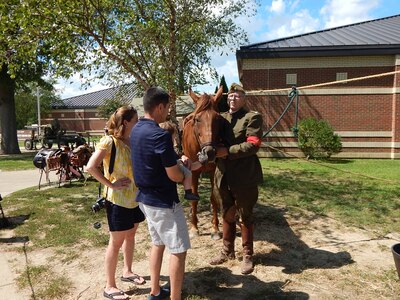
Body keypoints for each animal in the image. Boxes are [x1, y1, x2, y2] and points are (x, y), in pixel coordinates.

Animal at [182, 85, 223, 240]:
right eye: (197, 119)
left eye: (218, 118)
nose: (209, 152)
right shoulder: (193, 172)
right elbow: (194, 198)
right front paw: (194, 228)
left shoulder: (212, 171)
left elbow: (213, 198)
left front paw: (215, 228)